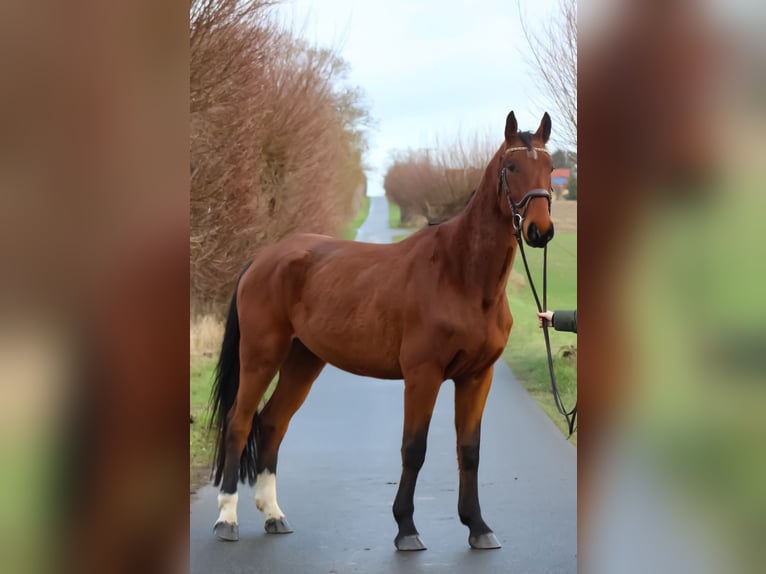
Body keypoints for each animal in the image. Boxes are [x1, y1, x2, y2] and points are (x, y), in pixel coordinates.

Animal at [210, 110, 560, 552]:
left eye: (549, 166)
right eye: (511, 167)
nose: (540, 231)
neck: (460, 274)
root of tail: (263, 258)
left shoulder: (478, 376)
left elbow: (469, 450)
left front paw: (478, 526)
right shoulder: (423, 375)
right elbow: (414, 449)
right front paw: (406, 528)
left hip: (303, 360)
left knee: (273, 422)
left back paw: (274, 515)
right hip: (261, 356)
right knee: (239, 423)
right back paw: (227, 518)